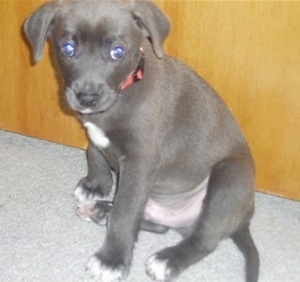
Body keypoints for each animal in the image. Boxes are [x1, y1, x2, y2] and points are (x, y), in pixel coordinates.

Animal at [24, 0, 258, 282]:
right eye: (68, 48)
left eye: (117, 52)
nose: (87, 97)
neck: (123, 92)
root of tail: (244, 217)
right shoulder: (95, 131)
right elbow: (94, 152)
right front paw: (96, 186)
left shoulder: (139, 161)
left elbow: (125, 212)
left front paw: (111, 260)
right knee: (157, 225)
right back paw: (99, 210)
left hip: (229, 179)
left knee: (204, 238)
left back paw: (167, 259)